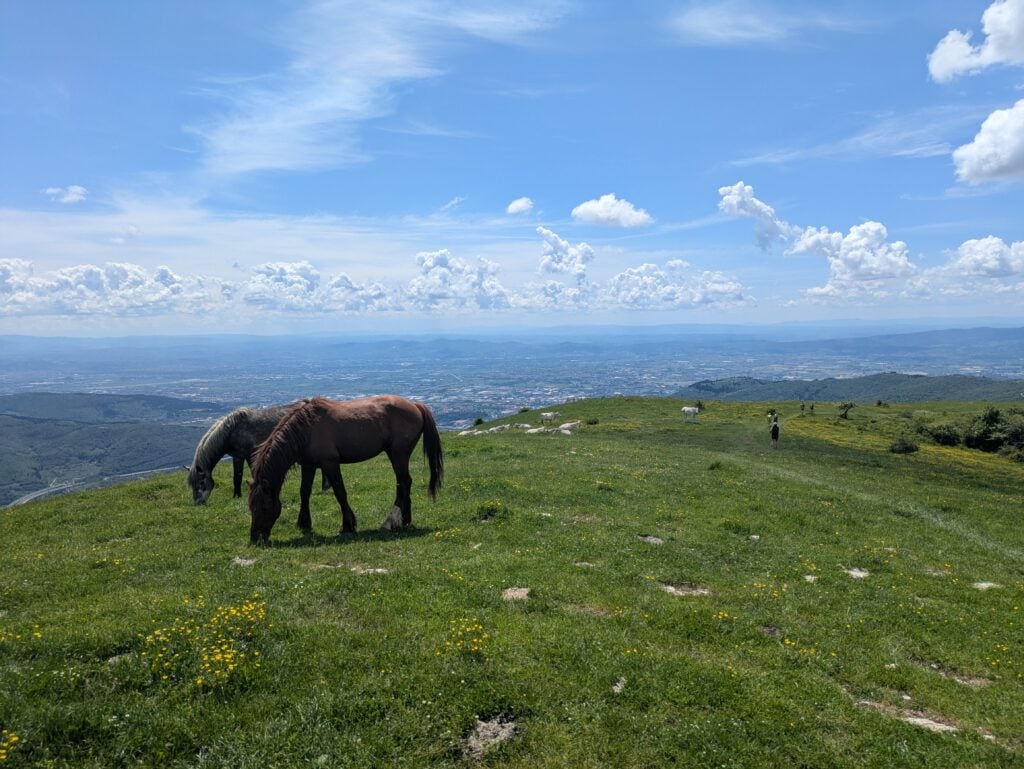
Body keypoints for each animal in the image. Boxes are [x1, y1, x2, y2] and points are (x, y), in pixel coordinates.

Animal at [187, 402, 330, 505]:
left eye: (201, 482)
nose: (198, 503)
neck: (231, 430)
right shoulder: (241, 456)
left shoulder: (244, 455)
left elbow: (239, 476)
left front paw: (239, 496)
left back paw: (325, 487)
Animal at [247, 395, 444, 544]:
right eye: (250, 507)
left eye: (264, 507)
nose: (256, 538)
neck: (306, 429)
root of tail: (416, 405)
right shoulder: (308, 465)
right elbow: (304, 492)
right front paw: (304, 523)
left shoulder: (330, 464)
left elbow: (340, 493)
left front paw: (348, 525)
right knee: (403, 482)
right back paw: (405, 520)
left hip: (398, 454)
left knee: (403, 482)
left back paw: (391, 521)